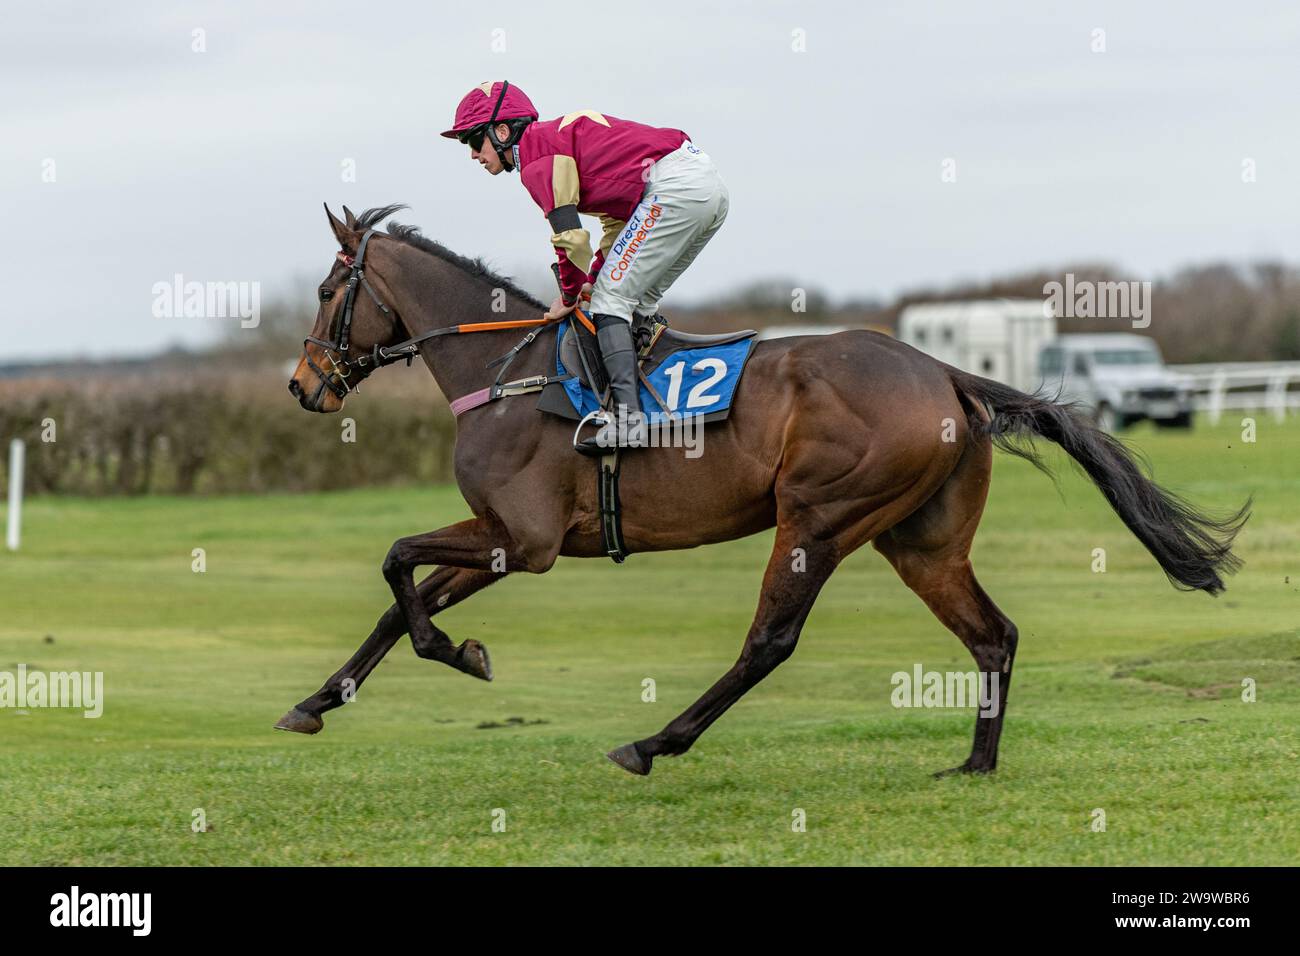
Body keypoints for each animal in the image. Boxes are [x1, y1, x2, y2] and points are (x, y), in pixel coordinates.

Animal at [276, 204, 1248, 780]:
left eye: (327, 290)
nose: (302, 386)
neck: (504, 371)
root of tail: (944, 372)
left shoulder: (526, 537)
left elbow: (396, 564)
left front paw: (456, 651)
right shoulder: (501, 534)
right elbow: (397, 601)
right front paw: (317, 702)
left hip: (819, 517)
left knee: (769, 642)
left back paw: (653, 742)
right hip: (921, 541)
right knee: (993, 635)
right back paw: (975, 764)